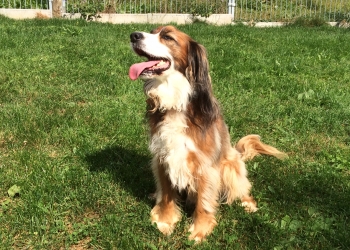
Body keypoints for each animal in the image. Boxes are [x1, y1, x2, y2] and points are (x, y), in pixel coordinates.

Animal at [127, 25, 286, 242]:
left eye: (167, 37)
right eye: (152, 31)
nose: (133, 35)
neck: (177, 103)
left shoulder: (205, 165)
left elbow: (203, 202)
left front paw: (199, 230)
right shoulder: (161, 158)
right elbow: (166, 194)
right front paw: (165, 220)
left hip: (230, 166)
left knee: (242, 186)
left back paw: (248, 203)